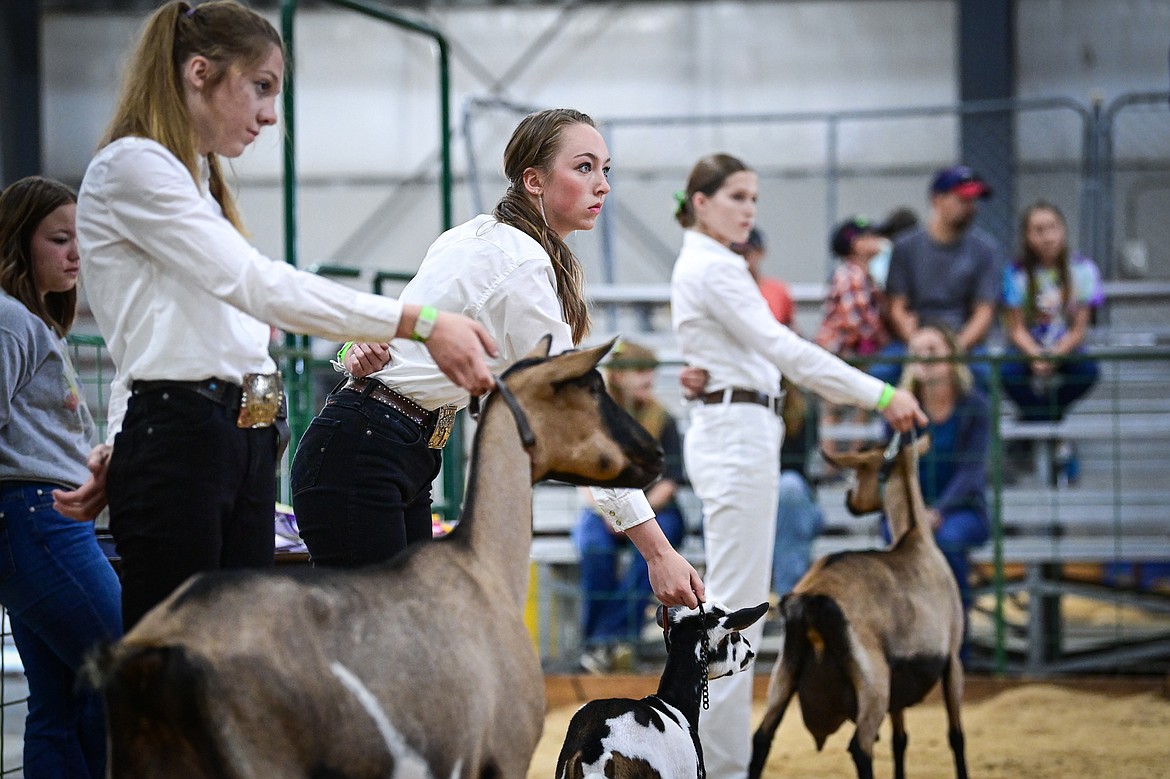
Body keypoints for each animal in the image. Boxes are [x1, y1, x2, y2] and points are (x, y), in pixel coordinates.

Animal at [748, 432, 968, 776]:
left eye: (862, 470)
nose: (850, 498)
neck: (917, 537)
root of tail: (811, 600)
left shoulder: (899, 674)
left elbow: (900, 740)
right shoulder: (952, 660)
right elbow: (956, 736)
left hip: (786, 670)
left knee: (761, 737)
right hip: (873, 679)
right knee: (860, 746)